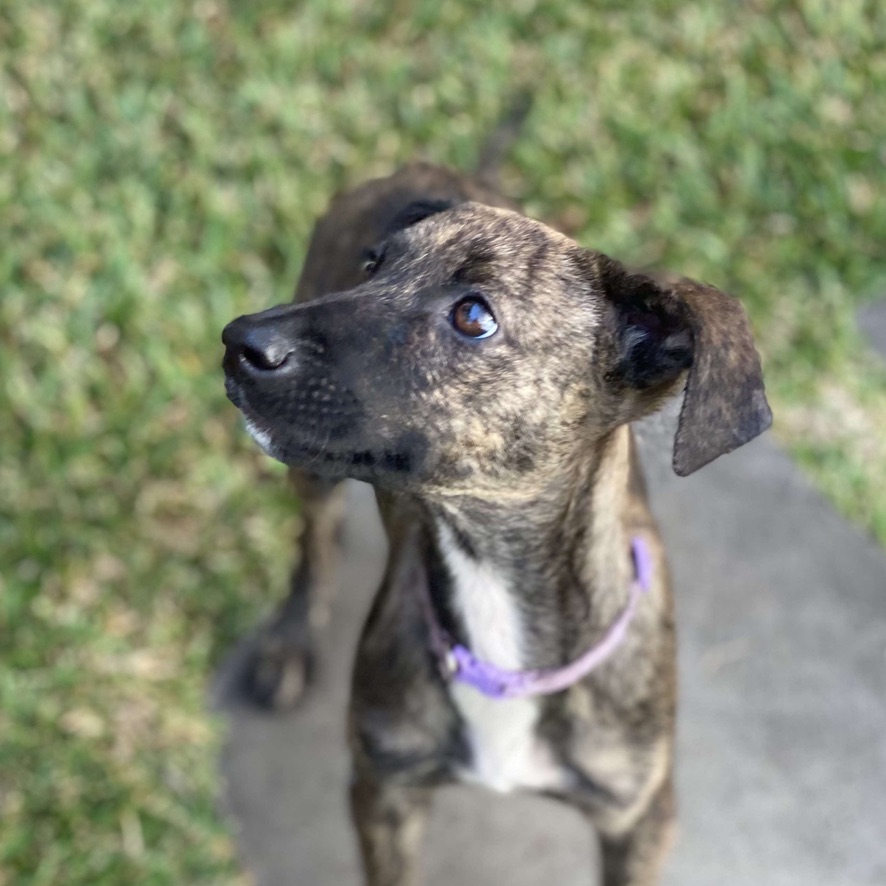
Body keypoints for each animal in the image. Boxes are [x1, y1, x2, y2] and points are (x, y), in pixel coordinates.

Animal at [220, 161, 772, 886]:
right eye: (372, 266)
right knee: (312, 541)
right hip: (310, 476)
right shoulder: (383, 789)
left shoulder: (642, 818)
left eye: (473, 316)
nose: (238, 340)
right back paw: (289, 641)